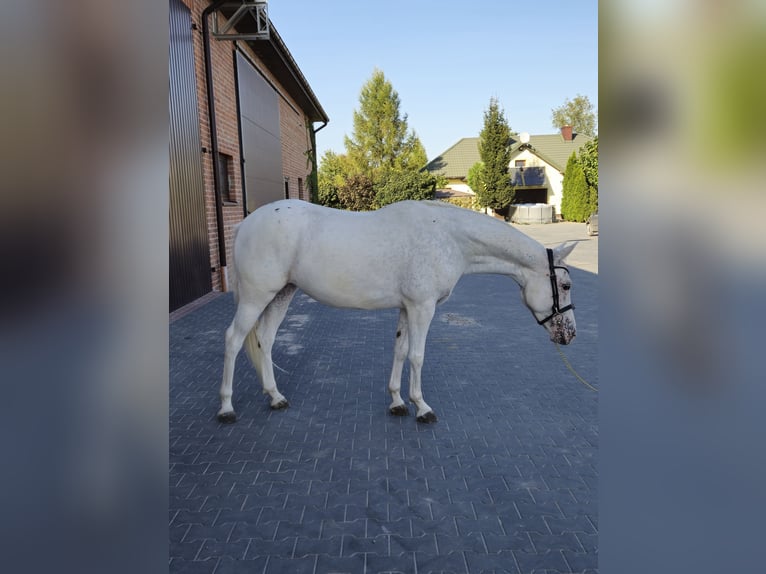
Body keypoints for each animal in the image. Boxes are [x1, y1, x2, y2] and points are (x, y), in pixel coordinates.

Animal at [216, 200, 576, 426]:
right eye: (567, 284)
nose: (570, 334)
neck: (449, 238)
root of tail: (245, 223)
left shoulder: (407, 307)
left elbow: (400, 351)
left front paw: (397, 402)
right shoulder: (422, 307)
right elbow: (417, 356)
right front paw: (422, 408)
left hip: (281, 294)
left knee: (264, 339)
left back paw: (275, 397)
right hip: (256, 296)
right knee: (233, 340)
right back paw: (226, 407)